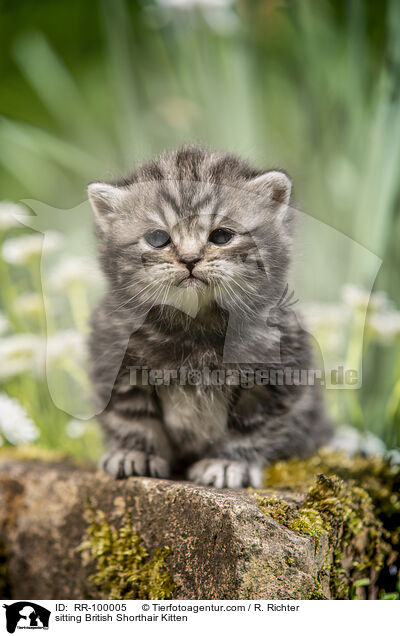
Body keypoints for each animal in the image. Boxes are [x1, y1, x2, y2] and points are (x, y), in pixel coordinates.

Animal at [89, 147, 332, 490]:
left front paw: (228, 463)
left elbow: (251, 426)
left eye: (221, 236)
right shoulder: (114, 357)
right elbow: (131, 415)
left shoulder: (277, 372)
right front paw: (135, 452)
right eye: (157, 238)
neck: (194, 328)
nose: (190, 259)